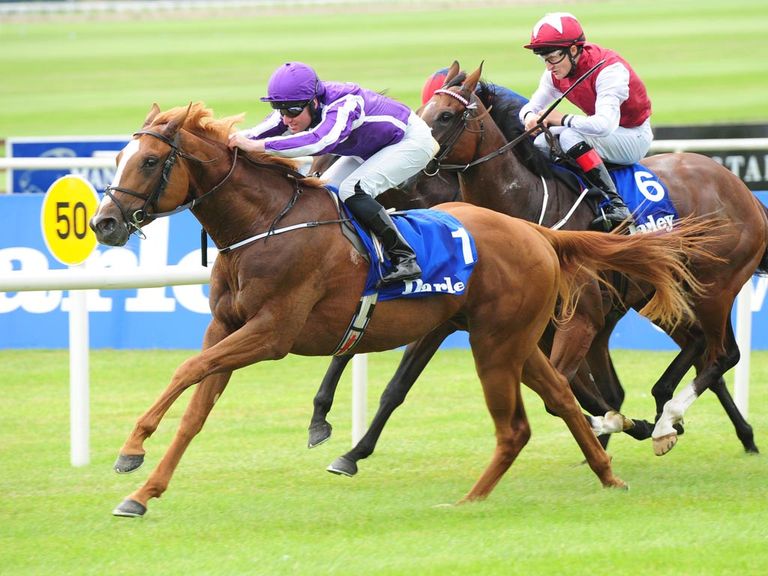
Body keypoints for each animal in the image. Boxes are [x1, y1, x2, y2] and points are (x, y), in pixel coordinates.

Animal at [90, 101, 704, 516]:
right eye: (117, 157)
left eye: (150, 161)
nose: (104, 223)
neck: (265, 225)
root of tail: (536, 232)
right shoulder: (227, 327)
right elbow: (196, 407)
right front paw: (141, 491)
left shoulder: (271, 334)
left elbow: (186, 370)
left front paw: (130, 449)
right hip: (513, 339)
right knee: (561, 398)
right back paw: (610, 470)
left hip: (497, 343)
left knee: (526, 421)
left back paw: (482, 495)